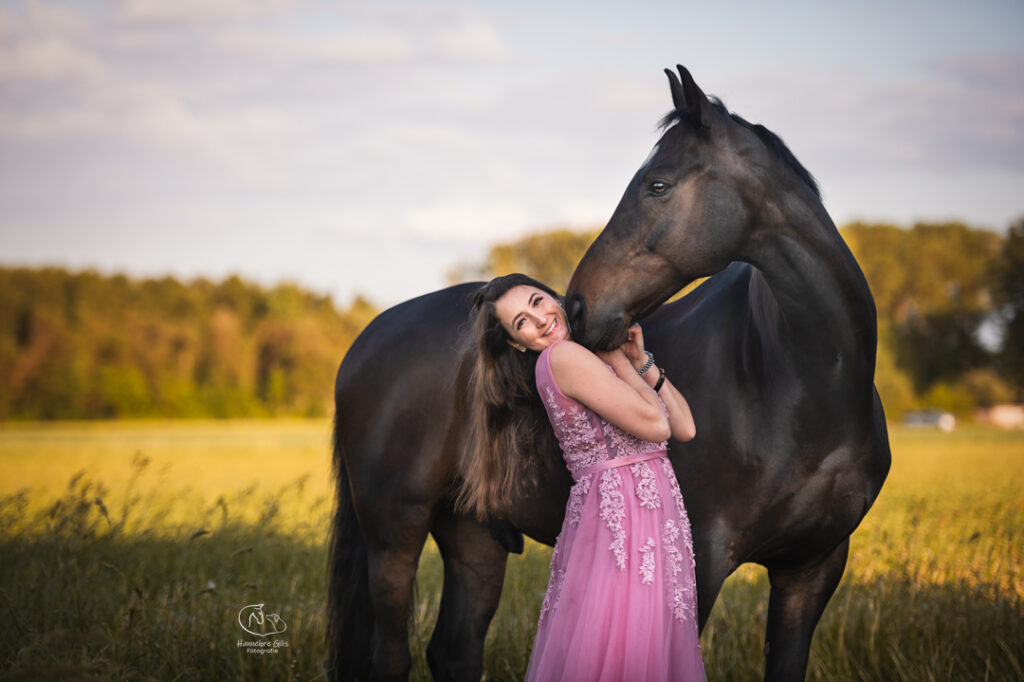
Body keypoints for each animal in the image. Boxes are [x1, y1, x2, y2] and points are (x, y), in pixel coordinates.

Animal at [326, 65, 890, 682]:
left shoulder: (811, 571)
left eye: (658, 184)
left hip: (473, 533)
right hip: (393, 537)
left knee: (454, 649)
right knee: (391, 655)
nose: (575, 308)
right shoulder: (703, 561)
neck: (799, 383)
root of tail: (368, 338)